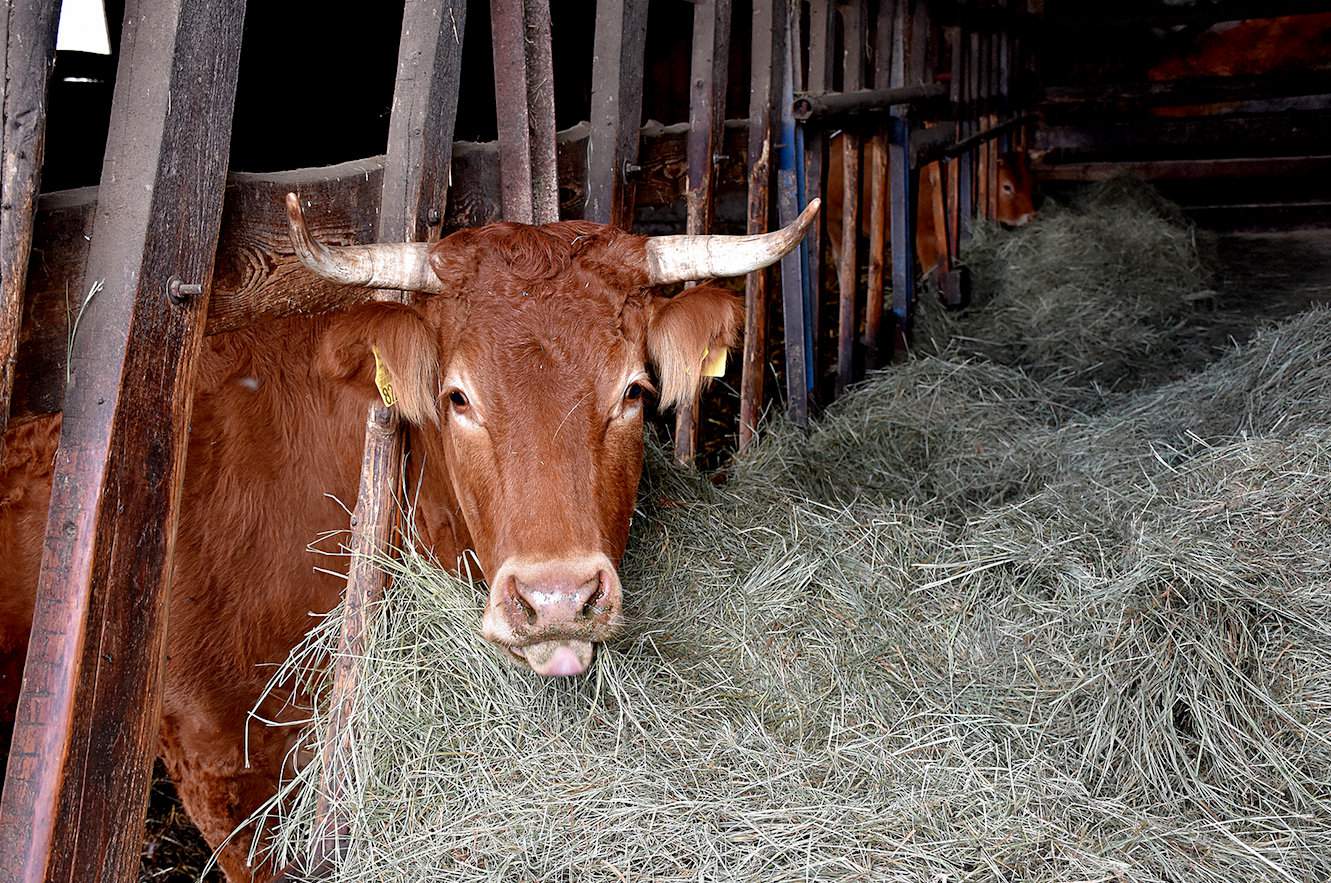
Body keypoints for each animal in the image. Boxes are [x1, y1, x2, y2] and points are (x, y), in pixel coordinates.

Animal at [819, 141, 1038, 279]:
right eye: (1007, 187)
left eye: (1030, 180)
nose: (1031, 216)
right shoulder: (923, 236)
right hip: (834, 221)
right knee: (841, 260)